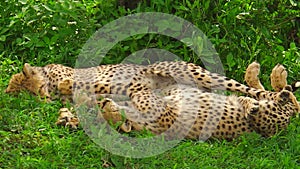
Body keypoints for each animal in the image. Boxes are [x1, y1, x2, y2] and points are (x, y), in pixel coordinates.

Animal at [5, 61, 300, 139]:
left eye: (38, 91)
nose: (45, 99)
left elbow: (88, 84)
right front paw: (68, 117)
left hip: (196, 74)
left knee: (271, 97)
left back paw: (273, 82)